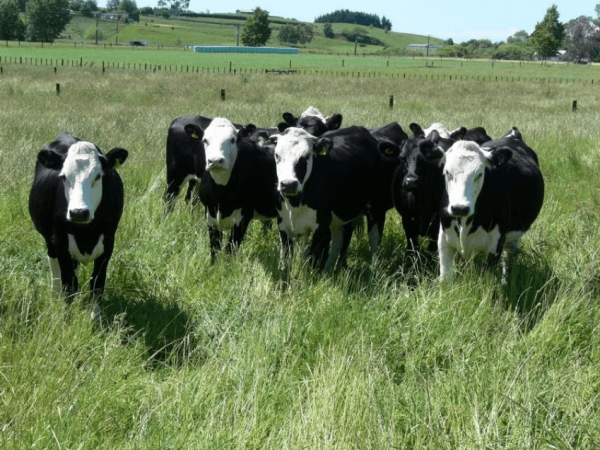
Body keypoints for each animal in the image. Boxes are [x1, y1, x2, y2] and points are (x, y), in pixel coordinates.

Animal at [28, 130, 129, 306]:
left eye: (98, 176)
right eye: (63, 177)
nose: (78, 212)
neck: (86, 233)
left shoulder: (108, 245)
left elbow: (96, 285)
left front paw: (95, 314)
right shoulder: (61, 244)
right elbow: (69, 286)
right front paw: (66, 313)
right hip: (50, 240)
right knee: (53, 263)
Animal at [198, 118, 280, 262]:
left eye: (232, 140)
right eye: (205, 140)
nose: (215, 161)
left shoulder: (244, 217)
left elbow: (230, 249)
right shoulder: (210, 214)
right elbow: (214, 248)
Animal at [270, 125, 382, 270]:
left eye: (306, 156)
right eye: (277, 155)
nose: (288, 184)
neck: (295, 204)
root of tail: (359, 128)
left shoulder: (321, 226)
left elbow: (313, 260)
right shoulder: (283, 224)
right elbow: (285, 260)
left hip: (375, 206)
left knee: (374, 238)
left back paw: (373, 269)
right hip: (342, 215)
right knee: (340, 239)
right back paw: (330, 270)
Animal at [436, 126, 544, 282]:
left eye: (480, 174)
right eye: (447, 172)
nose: (460, 208)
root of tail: (513, 135)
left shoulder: (495, 244)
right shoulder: (443, 239)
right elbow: (445, 279)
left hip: (514, 237)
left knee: (507, 257)